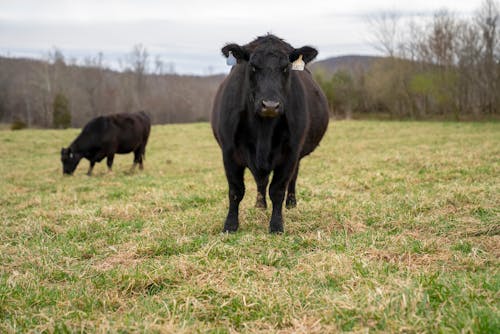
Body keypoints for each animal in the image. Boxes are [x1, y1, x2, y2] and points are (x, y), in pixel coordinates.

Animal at [210, 34, 328, 232]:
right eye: (253, 66)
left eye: (286, 67)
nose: (270, 105)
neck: (263, 131)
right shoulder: (229, 151)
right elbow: (236, 190)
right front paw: (230, 225)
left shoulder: (290, 152)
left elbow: (278, 189)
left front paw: (276, 225)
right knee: (261, 181)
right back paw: (260, 205)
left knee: (292, 178)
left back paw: (291, 203)